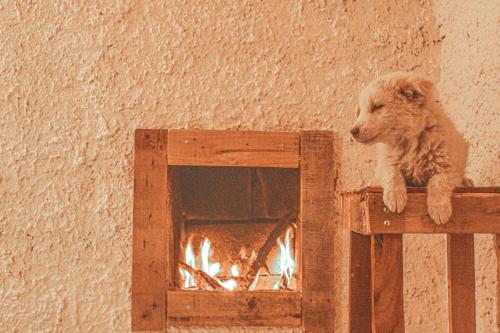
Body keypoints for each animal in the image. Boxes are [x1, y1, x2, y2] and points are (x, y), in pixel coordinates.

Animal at [350, 71, 470, 224]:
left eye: (377, 106)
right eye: (360, 112)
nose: (352, 131)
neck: (409, 141)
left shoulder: (448, 167)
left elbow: (439, 182)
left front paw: (439, 209)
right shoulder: (385, 163)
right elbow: (392, 173)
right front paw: (395, 197)